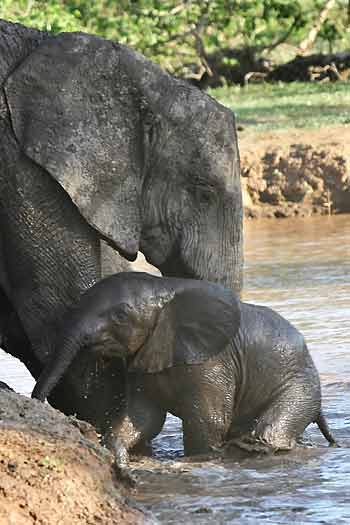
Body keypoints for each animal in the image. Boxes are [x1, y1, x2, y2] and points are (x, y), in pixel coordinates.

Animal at [32, 272, 336, 472]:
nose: (40, 403)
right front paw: (118, 456)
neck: (163, 289)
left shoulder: (211, 360)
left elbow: (208, 421)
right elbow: (143, 417)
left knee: (269, 431)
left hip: (300, 384)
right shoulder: (145, 356)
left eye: (120, 316)